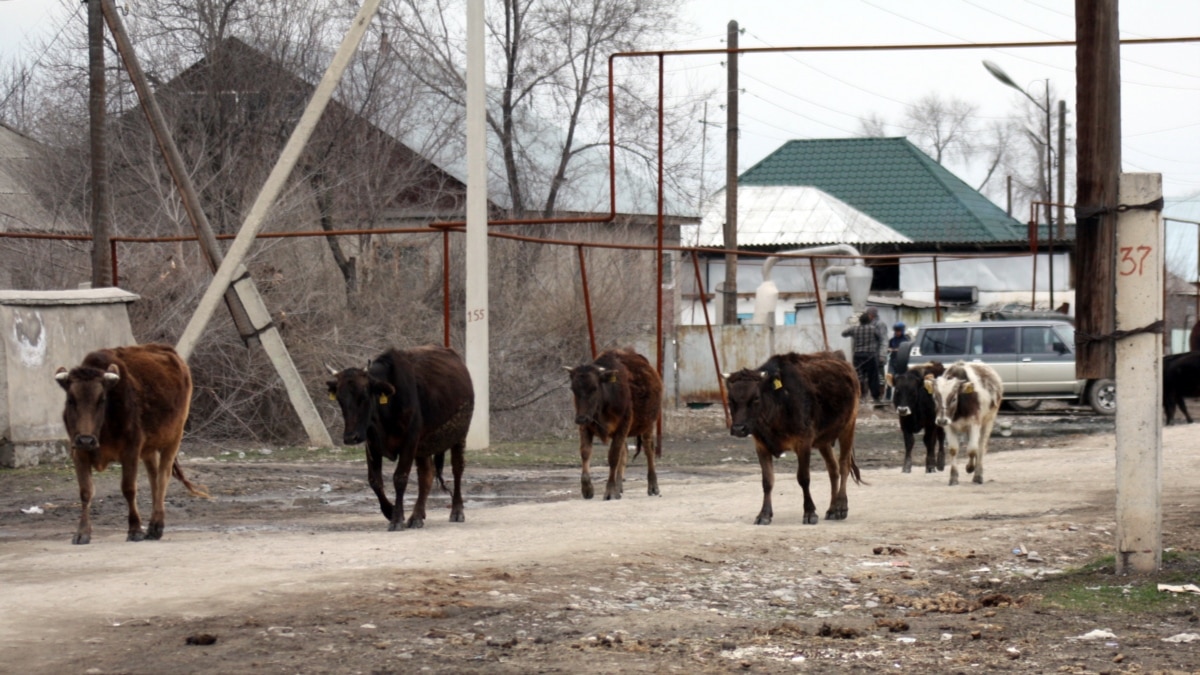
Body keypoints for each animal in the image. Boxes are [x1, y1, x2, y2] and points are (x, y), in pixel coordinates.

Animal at [54, 343, 210, 542]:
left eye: (102, 400)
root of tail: (169, 351)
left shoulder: (131, 451)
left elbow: (129, 489)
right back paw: (152, 525)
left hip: (174, 438)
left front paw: (135, 529)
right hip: (149, 448)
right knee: (153, 478)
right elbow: (85, 492)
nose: (86, 440)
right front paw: (82, 532)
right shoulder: (79, 453)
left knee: (162, 477)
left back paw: (156, 525)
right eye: (70, 400)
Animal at [331, 343, 475, 528]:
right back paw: (417, 516)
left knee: (457, 469)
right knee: (426, 475)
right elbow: (374, 480)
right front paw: (390, 511)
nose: (351, 437)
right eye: (340, 399)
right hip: (423, 447)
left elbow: (400, 478)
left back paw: (456, 511)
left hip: (459, 437)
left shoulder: (409, 442)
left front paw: (397, 519)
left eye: (364, 396)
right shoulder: (372, 445)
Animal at [564, 345, 662, 499]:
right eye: (573, 389)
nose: (581, 418)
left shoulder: (622, 426)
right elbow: (586, 452)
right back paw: (619, 487)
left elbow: (613, 457)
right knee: (624, 453)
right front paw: (587, 489)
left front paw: (609, 490)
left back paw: (653, 486)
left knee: (648, 449)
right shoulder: (586, 427)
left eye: (594, 388)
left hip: (648, 425)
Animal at [720, 348, 864, 523]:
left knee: (843, 465)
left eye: (755, 398)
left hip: (848, 427)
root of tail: (839, 357)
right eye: (731, 399)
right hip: (823, 440)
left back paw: (841, 507)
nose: (738, 429)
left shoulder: (803, 443)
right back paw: (832, 509)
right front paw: (764, 514)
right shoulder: (761, 445)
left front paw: (810, 512)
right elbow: (767, 481)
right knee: (833, 469)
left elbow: (803, 478)